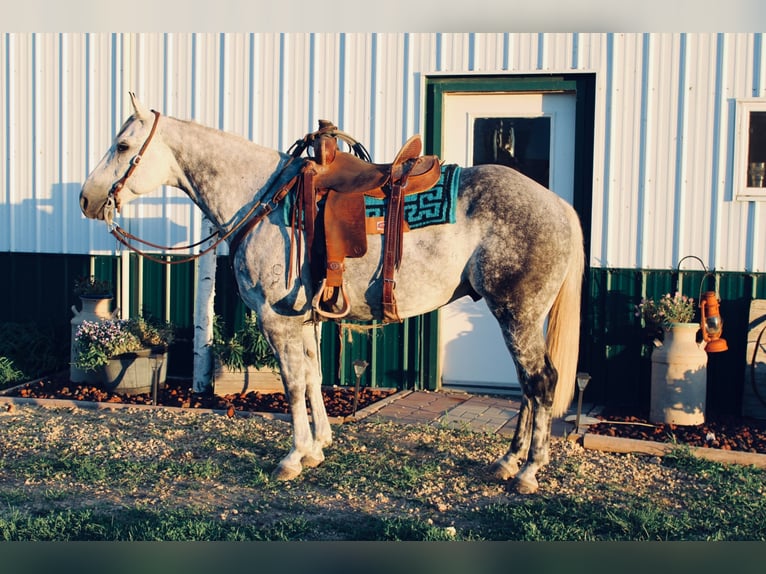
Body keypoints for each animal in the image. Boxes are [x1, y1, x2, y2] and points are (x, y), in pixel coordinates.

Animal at [81, 93, 584, 496]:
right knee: (526, 386)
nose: (87, 199)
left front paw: (293, 457)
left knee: (541, 382)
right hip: (519, 317)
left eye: (123, 146)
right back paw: (507, 461)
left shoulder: (276, 319)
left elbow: (292, 383)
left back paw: (529, 471)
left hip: (516, 313)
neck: (261, 199)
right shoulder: (303, 319)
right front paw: (319, 446)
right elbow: (313, 377)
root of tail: (557, 205)